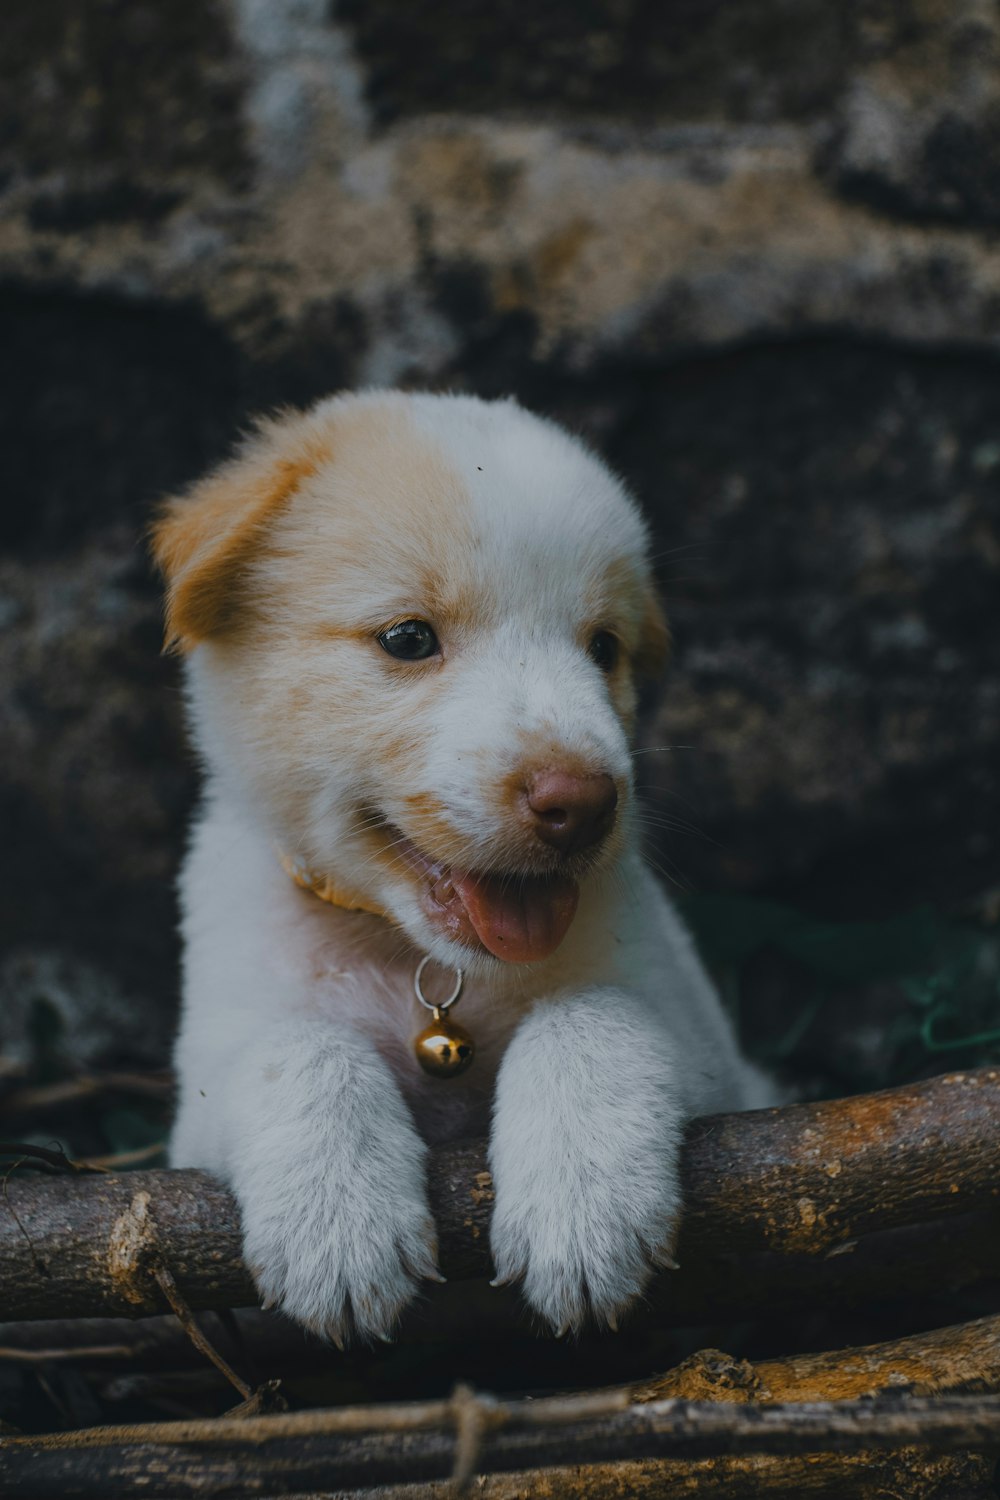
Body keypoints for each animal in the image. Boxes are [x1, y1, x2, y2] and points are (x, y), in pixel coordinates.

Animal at [152, 393, 773, 1344]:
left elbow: (592, 1013)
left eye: (603, 648)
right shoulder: (204, 1087)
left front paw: (581, 1205)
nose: (581, 803)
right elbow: (297, 1045)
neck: (429, 973)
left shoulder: (718, 1060)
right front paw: (336, 1224)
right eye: (409, 638)